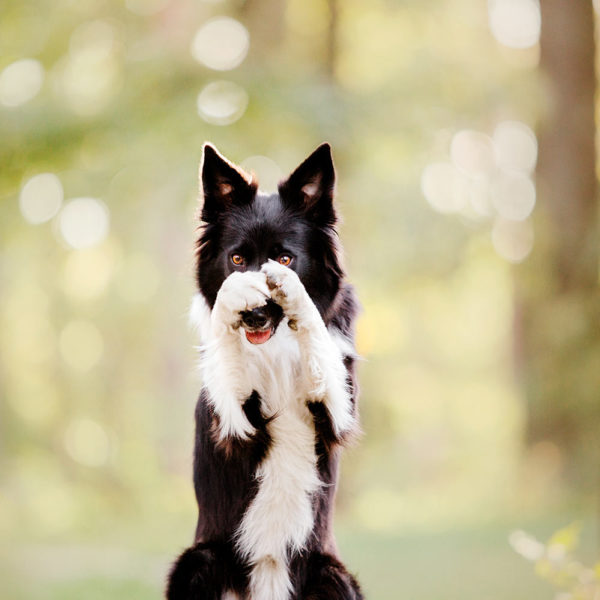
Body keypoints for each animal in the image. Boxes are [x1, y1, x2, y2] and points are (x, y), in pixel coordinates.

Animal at [168, 143, 366, 596]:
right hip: (198, 561)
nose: (255, 316)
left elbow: (317, 335)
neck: (276, 347)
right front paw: (233, 298)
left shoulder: (338, 410)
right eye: (238, 259)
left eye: (285, 258)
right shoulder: (236, 421)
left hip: (332, 574)